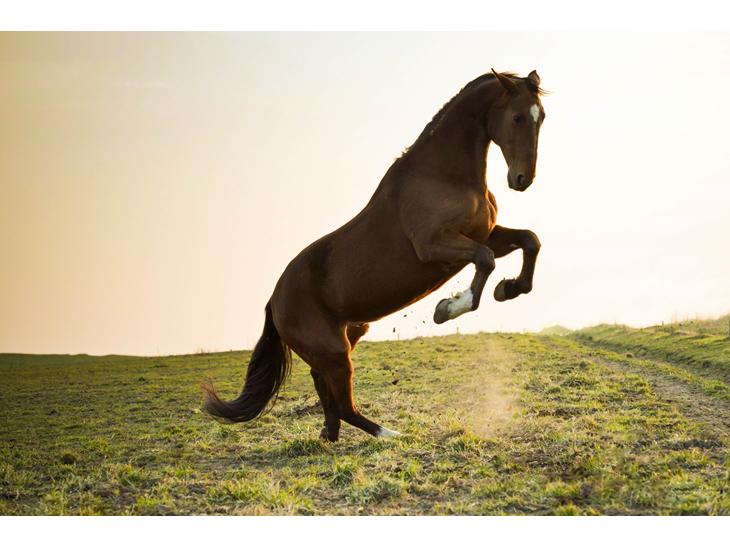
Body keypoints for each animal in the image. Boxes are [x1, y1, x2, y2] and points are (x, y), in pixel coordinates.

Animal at [202, 69, 547, 441]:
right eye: (517, 117)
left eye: (541, 117)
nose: (522, 179)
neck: (444, 176)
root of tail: (274, 300)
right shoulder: (435, 246)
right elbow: (485, 259)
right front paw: (446, 309)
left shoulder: (485, 234)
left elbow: (530, 241)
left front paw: (508, 289)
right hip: (336, 353)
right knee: (344, 405)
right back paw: (394, 435)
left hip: (348, 336)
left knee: (324, 388)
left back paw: (329, 434)